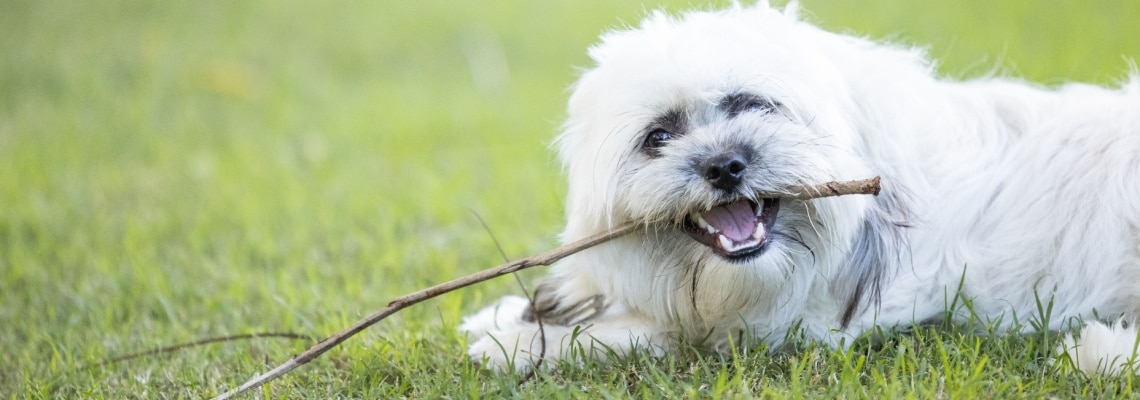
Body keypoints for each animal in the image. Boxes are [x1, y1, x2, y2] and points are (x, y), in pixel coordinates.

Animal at [458, 2, 1135, 376]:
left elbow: (668, 333)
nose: (725, 166)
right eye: (659, 136)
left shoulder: (806, 325)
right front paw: (539, 308)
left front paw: (527, 342)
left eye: (753, 105)